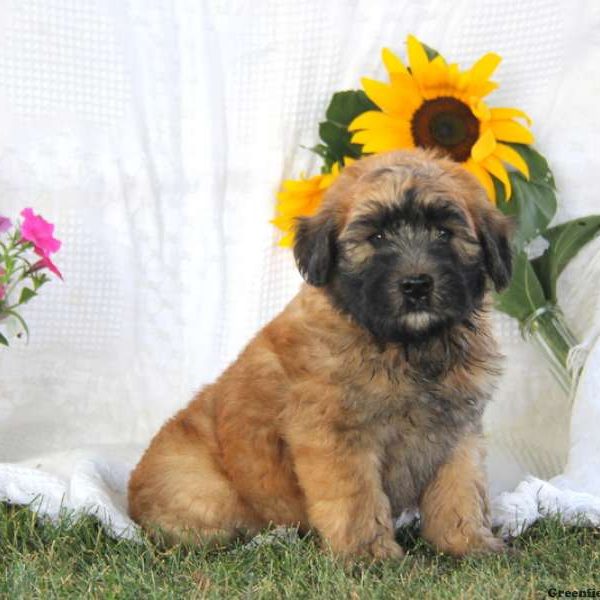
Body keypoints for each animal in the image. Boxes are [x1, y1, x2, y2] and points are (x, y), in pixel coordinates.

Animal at [126, 148, 510, 560]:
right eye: (376, 237)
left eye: (444, 233)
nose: (416, 285)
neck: (408, 347)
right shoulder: (337, 438)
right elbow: (357, 499)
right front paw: (367, 555)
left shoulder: (458, 432)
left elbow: (461, 492)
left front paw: (469, 543)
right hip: (205, 487)